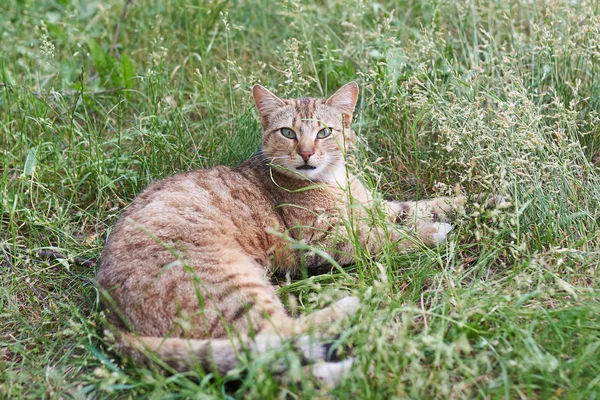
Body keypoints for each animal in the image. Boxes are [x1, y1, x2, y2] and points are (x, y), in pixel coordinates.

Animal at [96, 82, 466, 384]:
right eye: (288, 132)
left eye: (324, 132)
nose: (306, 153)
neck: (334, 181)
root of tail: (110, 318)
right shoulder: (321, 241)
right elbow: (385, 236)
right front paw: (434, 232)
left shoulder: (371, 207)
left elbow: (410, 208)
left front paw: (462, 202)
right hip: (232, 286)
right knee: (276, 343)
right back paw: (357, 313)